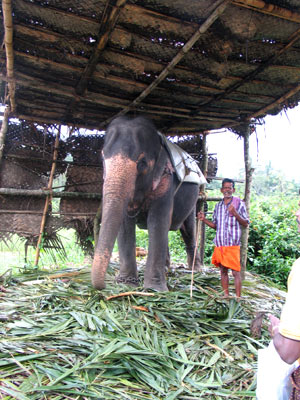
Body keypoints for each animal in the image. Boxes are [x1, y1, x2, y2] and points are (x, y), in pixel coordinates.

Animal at [90, 115, 205, 290]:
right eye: (103, 159)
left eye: (142, 164)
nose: (104, 285)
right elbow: (126, 224)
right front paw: (127, 285)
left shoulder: (166, 180)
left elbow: (157, 221)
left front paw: (154, 289)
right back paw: (167, 268)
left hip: (194, 197)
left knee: (188, 229)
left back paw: (196, 271)